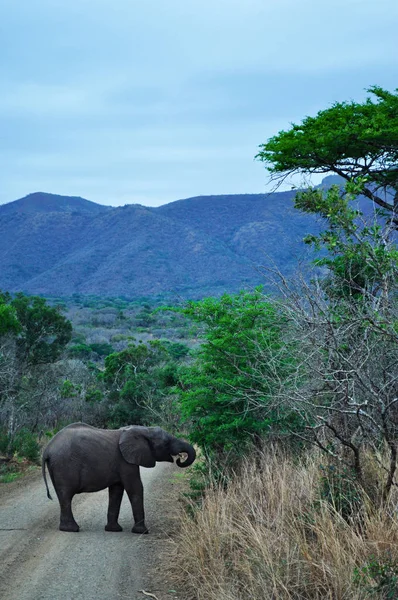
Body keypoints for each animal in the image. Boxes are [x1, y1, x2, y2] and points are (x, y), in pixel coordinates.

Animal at [41, 422, 195, 536]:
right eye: (166, 442)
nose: (180, 459)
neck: (142, 430)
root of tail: (47, 449)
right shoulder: (125, 462)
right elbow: (135, 488)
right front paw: (142, 532)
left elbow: (116, 491)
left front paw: (113, 530)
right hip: (63, 466)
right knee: (66, 496)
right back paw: (73, 529)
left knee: (63, 497)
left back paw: (67, 529)